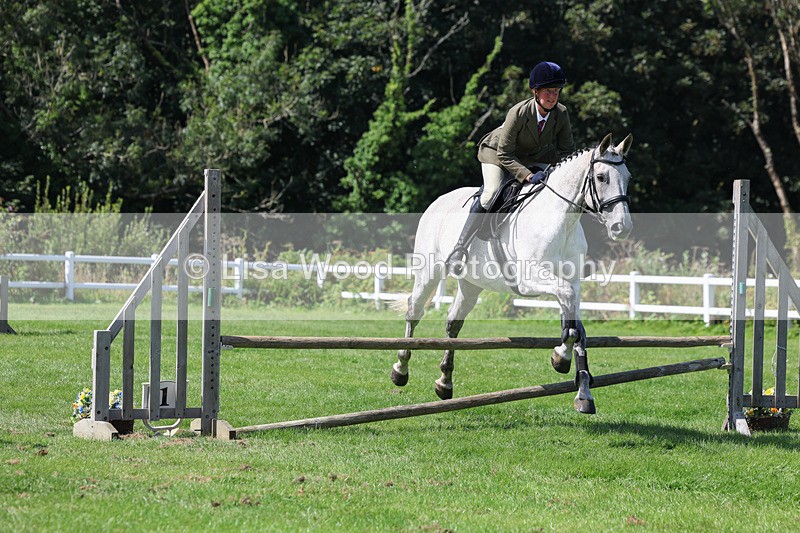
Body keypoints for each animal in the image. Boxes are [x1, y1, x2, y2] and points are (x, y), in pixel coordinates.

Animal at [390, 132, 633, 414]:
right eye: (601, 177)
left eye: (628, 177)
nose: (622, 227)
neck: (562, 222)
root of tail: (439, 200)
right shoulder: (530, 279)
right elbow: (569, 314)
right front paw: (561, 358)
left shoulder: (571, 281)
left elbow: (576, 327)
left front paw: (579, 387)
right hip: (429, 272)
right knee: (414, 311)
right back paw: (400, 370)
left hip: (471, 284)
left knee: (453, 323)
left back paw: (444, 382)